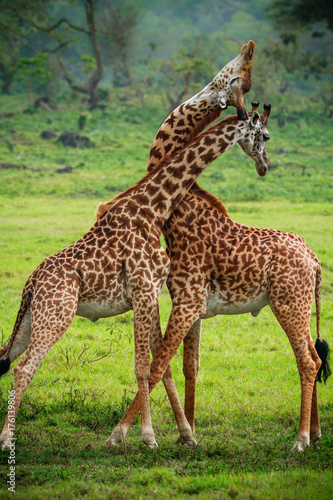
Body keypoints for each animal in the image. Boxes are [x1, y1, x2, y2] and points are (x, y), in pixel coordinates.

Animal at [0, 105, 266, 454]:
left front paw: (186, 434)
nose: (264, 166)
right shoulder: (142, 290)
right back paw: (6, 440)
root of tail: (30, 284)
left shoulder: (150, 293)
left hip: (31, 320)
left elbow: (162, 367)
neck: (152, 209)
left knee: (5, 356)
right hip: (56, 316)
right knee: (23, 368)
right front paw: (147, 437)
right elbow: (143, 366)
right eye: (265, 135)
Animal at [109, 98, 330, 454]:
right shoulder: (193, 306)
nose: (264, 166)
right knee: (315, 355)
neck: (179, 218)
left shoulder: (187, 302)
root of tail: (314, 260)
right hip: (300, 305)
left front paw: (120, 433)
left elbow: (157, 365)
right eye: (266, 135)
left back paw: (300, 440)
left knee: (307, 361)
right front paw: (187, 433)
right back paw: (317, 431)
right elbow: (189, 366)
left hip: (288, 303)